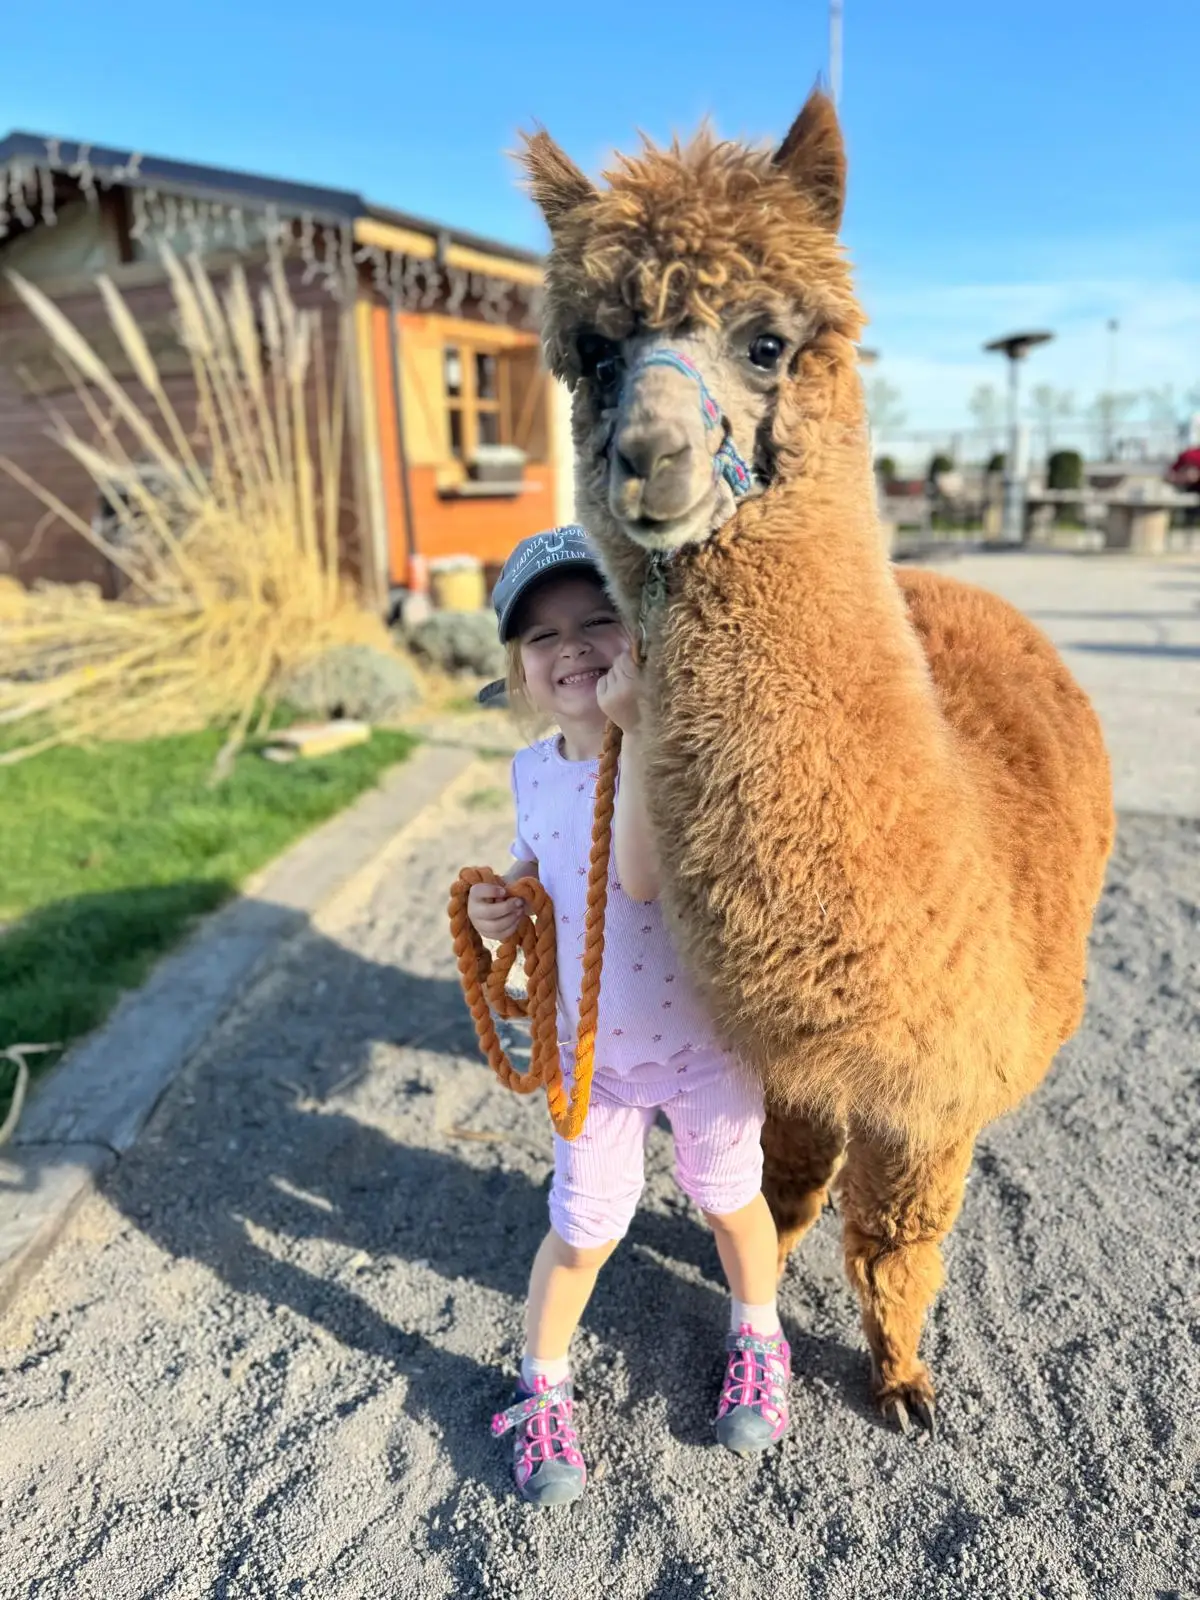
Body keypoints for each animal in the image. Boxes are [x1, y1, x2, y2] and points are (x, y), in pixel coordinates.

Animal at [518, 91, 1114, 1431]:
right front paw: (769, 1286)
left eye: (768, 340)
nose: (650, 458)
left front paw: (900, 1379)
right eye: (595, 352)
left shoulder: (937, 1087)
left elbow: (898, 1237)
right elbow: (784, 1187)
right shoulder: (785, 1051)